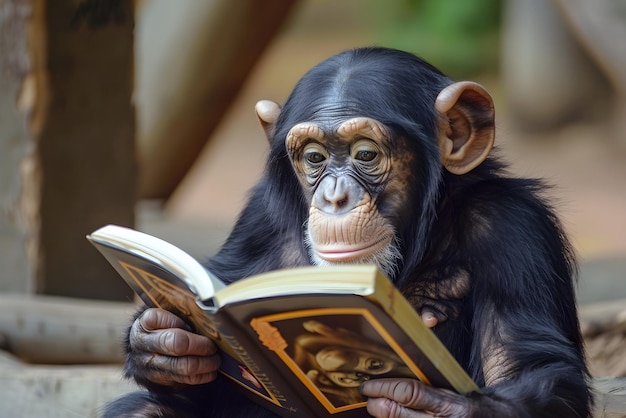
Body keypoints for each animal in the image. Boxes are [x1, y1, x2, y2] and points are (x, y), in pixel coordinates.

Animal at [105, 47, 592, 416]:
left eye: (365, 154)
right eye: (314, 158)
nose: (334, 197)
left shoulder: (513, 227)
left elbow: (532, 369)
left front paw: (431, 405)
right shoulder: (260, 219)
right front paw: (163, 340)